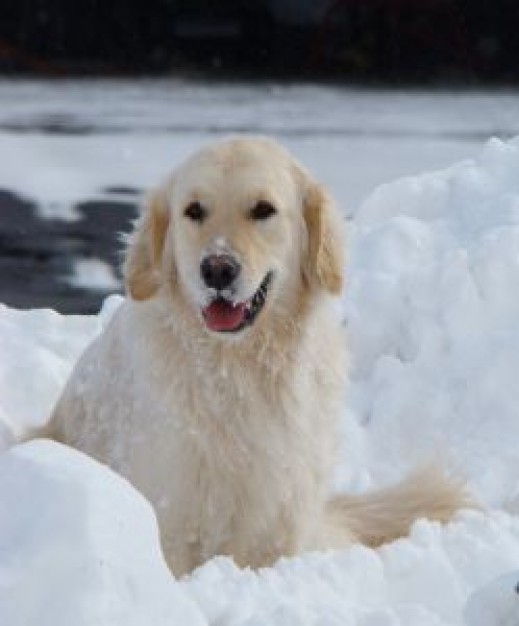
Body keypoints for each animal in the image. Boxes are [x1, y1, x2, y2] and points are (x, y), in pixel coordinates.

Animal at [48, 136, 472, 576]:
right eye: (194, 211)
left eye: (263, 209)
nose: (217, 269)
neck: (237, 368)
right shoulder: (174, 517)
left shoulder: (281, 522)